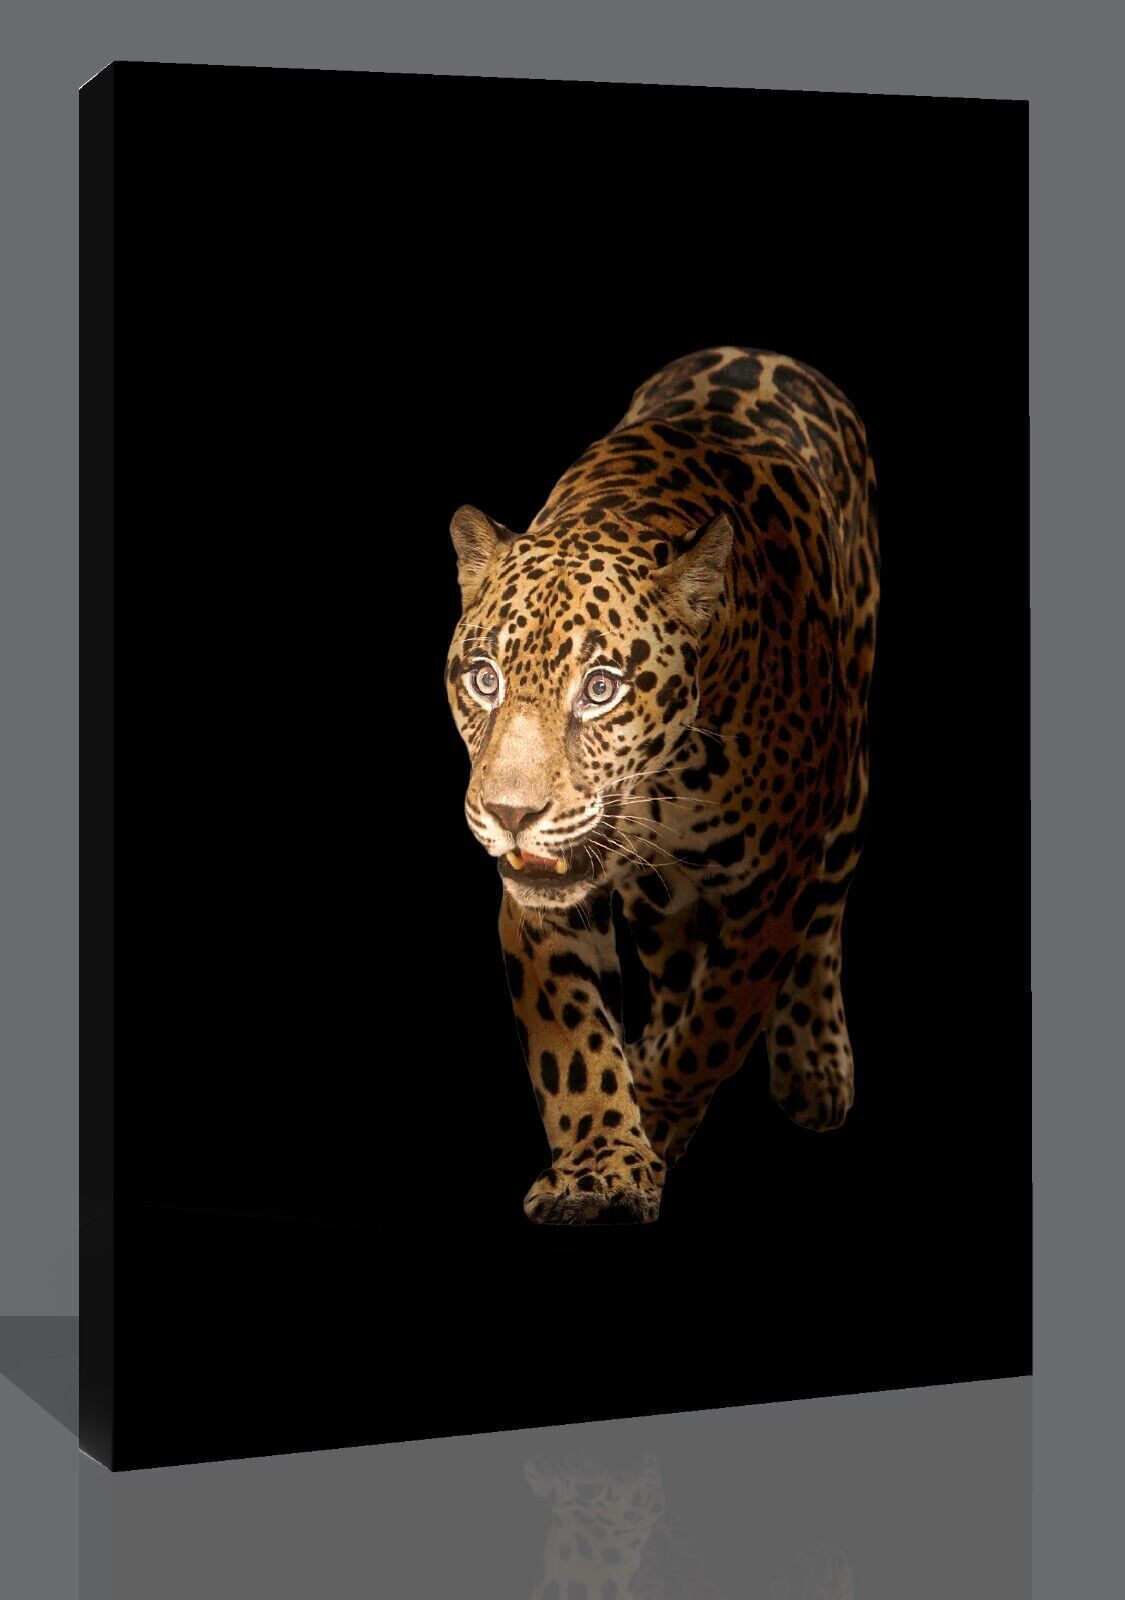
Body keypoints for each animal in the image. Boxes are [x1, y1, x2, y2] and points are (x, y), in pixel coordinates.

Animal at [445, 347, 878, 1225]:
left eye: (600, 689)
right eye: (483, 678)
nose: (509, 814)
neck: (664, 785)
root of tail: (770, 352)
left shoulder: (772, 886)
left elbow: (720, 1021)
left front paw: (654, 1102)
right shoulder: (544, 901)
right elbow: (573, 1043)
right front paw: (602, 1165)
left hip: (845, 783)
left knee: (823, 917)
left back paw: (813, 1061)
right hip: (662, 901)